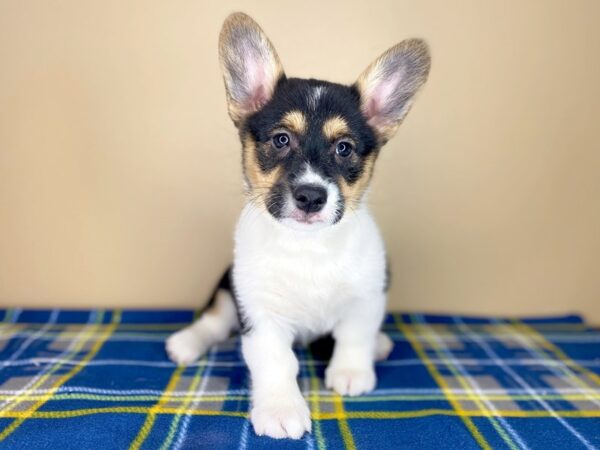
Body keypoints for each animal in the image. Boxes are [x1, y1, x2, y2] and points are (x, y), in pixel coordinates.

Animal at [166, 11, 428, 440]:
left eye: (344, 148)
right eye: (281, 140)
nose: (310, 196)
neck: (309, 247)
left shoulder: (367, 295)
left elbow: (355, 335)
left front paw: (351, 372)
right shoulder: (260, 313)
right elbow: (276, 362)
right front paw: (280, 409)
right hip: (227, 285)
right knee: (215, 319)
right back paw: (186, 342)